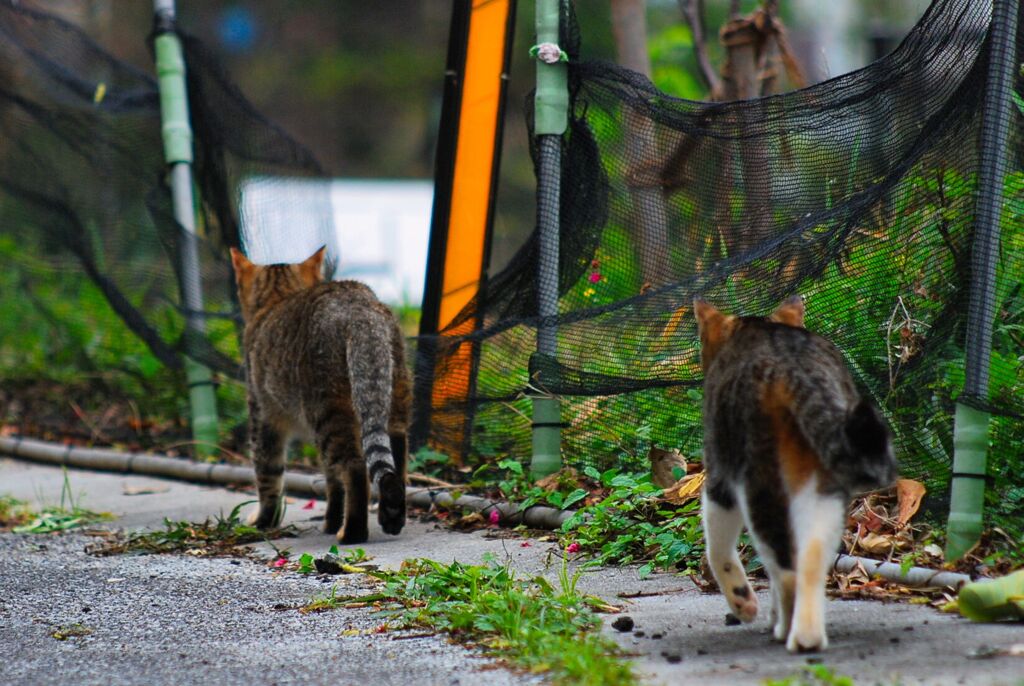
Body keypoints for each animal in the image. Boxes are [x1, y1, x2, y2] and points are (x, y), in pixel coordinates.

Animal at [230, 247, 409, 544]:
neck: (277, 298)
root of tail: (358, 309)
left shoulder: (262, 417)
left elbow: (268, 475)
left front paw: (264, 521)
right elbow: (332, 482)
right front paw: (331, 519)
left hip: (327, 413)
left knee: (355, 468)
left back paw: (352, 532)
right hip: (392, 405)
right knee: (395, 464)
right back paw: (391, 516)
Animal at [696, 298, 897, 651]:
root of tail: (792, 365)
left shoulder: (719, 475)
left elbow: (718, 549)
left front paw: (744, 603)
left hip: (758, 477)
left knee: (785, 567)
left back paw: (789, 631)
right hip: (820, 485)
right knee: (810, 554)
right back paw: (805, 634)